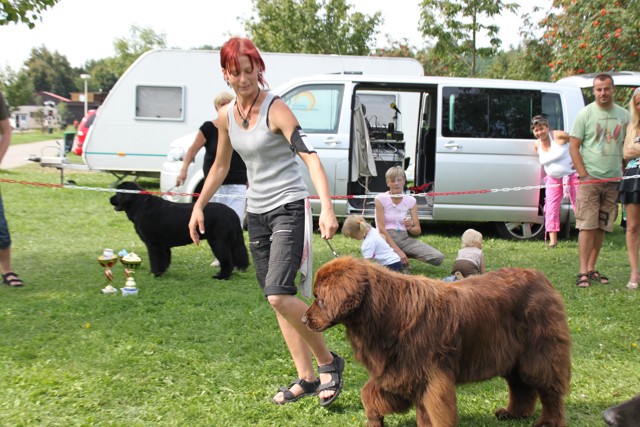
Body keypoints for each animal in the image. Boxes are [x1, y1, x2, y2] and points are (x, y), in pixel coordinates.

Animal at [110, 181, 249, 279]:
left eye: (118, 192)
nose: (110, 198)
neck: (140, 205)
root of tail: (232, 214)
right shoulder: (163, 246)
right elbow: (164, 260)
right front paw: (162, 272)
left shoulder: (153, 244)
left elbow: (155, 260)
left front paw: (154, 274)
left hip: (218, 242)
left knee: (227, 261)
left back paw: (221, 276)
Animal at [303, 257, 571, 427]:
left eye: (320, 299)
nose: (304, 319)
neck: (384, 312)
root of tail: (542, 279)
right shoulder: (399, 371)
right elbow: (370, 394)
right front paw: (374, 419)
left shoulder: (429, 375)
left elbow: (433, 411)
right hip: (512, 356)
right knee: (520, 386)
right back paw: (514, 414)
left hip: (539, 352)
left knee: (549, 389)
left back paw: (549, 421)